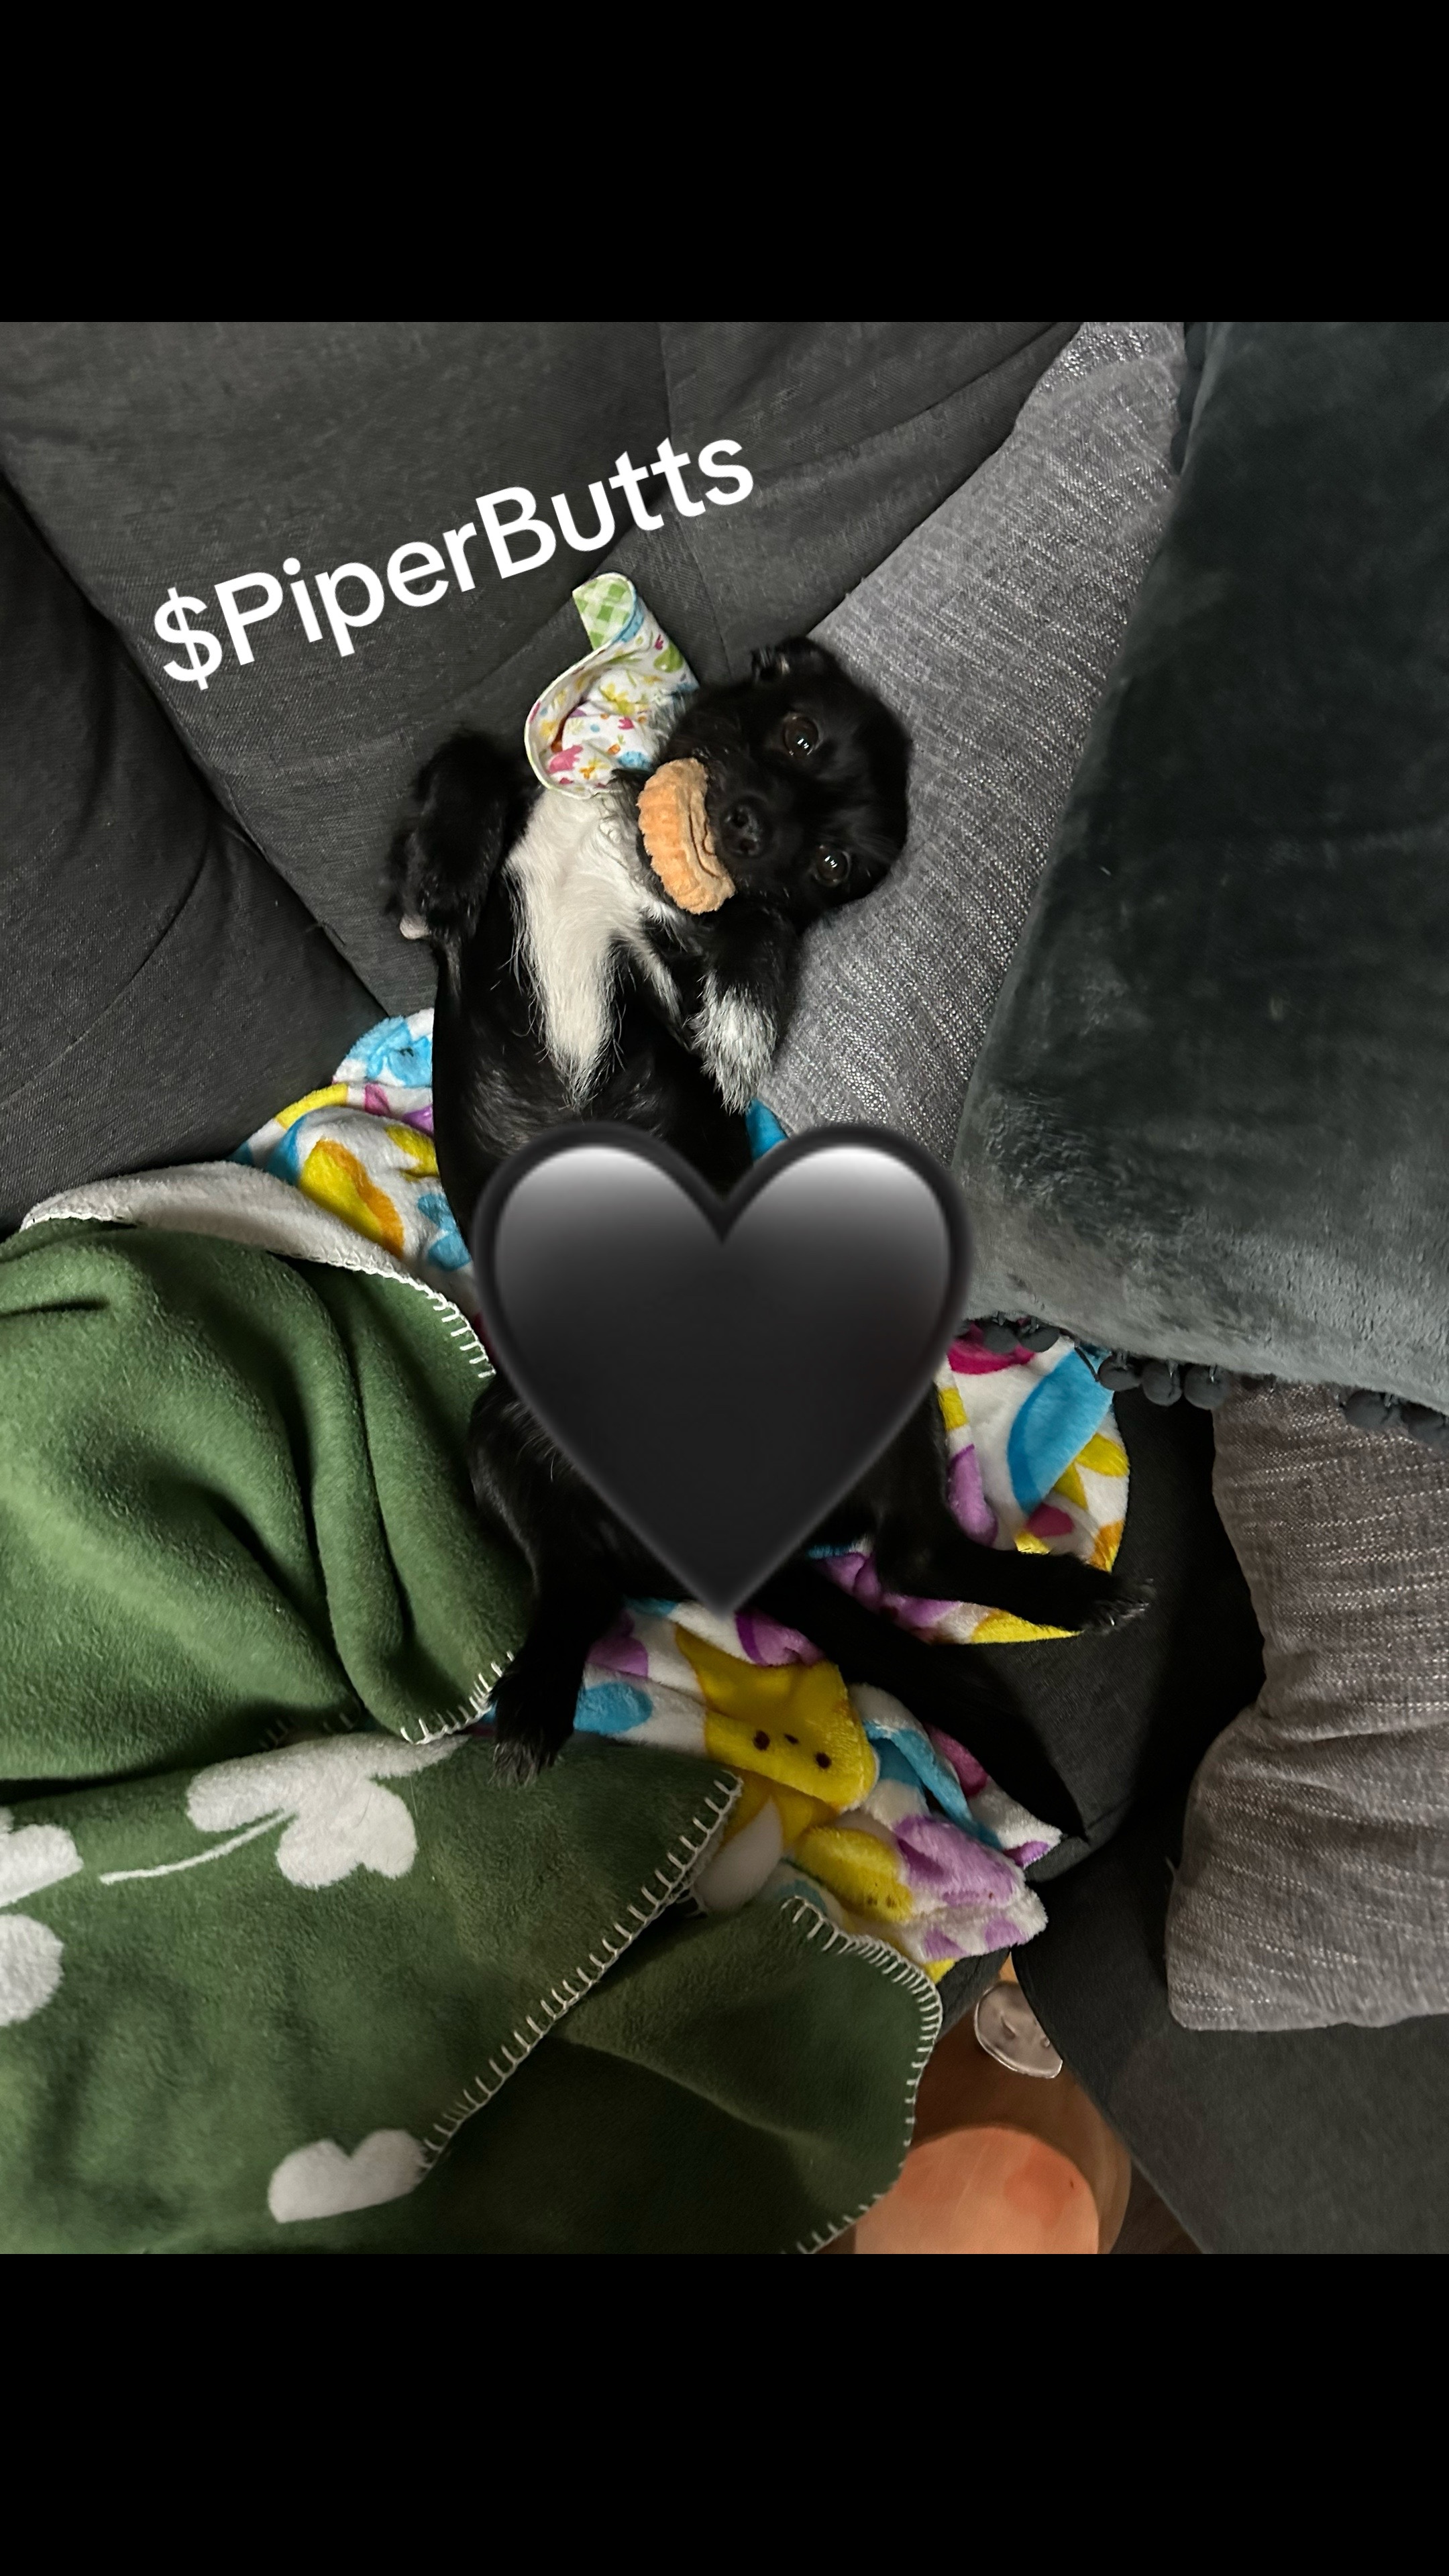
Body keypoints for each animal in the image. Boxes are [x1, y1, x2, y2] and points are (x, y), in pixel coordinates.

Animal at [386, 638, 1131, 1780]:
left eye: (833, 868)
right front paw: (438, 861)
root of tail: (719, 1549)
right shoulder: (467, 940)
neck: (639, 865)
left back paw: (1066, 1593)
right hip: (501, 1436)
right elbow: (468, 755)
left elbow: (743, 959)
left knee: (909, 1556)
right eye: (797, 735)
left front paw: (741, 962)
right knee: (579, 1588)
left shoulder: (691, 1004)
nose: (751, 829)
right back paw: (537, 1699)